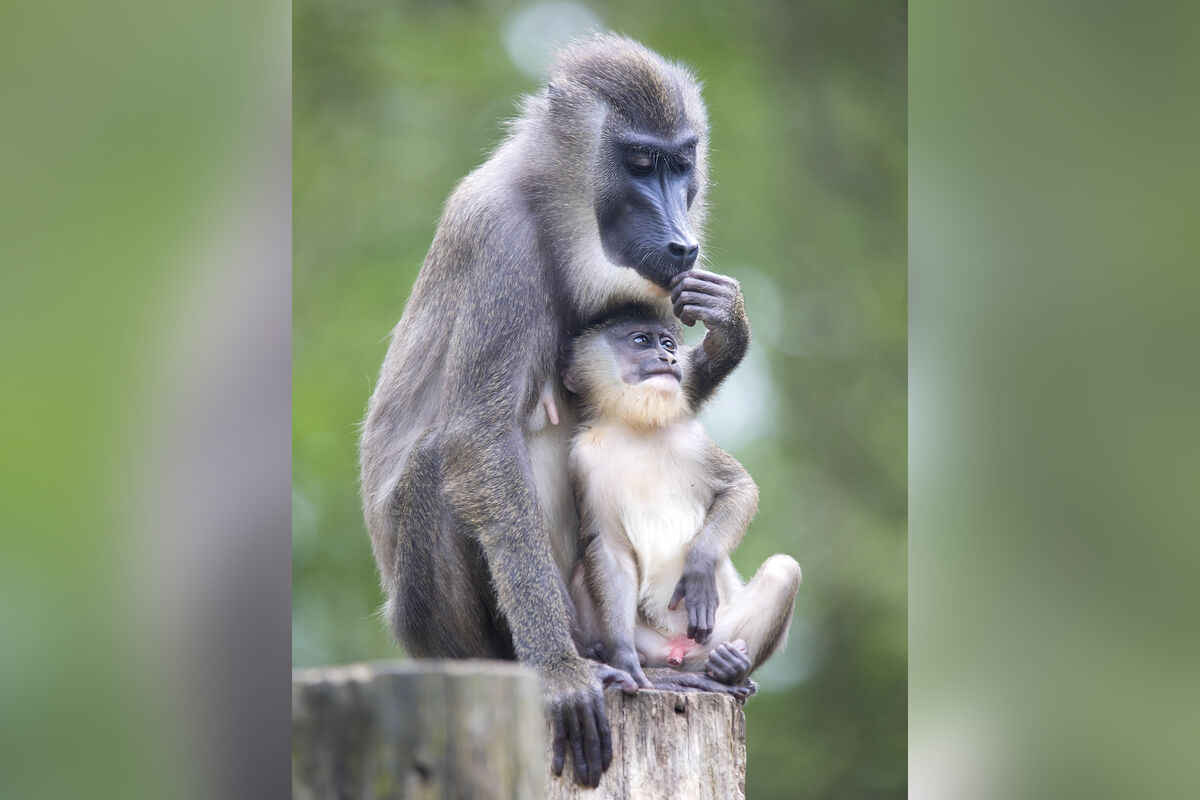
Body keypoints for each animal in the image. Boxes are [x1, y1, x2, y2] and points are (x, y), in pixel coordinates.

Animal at [355, 32, 748, 786]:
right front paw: (562, 675)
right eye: (639, 163)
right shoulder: (498, 239)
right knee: (439, 464)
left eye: (681, 162)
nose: (682, 239)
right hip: (438, 627)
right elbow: (477, 440)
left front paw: (729, 327)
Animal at [564, 303, 806, 695]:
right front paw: (624, 660)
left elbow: (740, 488)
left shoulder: (692, 438)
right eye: (641, 341)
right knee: (583, 570)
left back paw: (729, 669)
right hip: (650, 640)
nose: (669, 358)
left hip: (714, 634)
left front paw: (699, 569)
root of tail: (674, 650)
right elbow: (607, 546)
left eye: (667, 343)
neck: (636, 427)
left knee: (783, 570)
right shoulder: (583, 460)